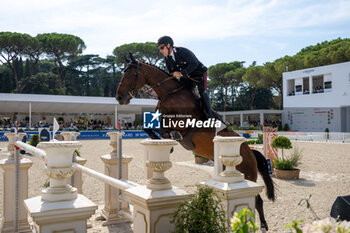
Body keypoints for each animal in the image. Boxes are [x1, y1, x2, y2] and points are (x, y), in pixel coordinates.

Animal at [116, 55, 274, 231]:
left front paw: (169, 139)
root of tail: (251, 152)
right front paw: (163, 142)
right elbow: (148, 126)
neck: (169, 94)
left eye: (130, 74)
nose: (119, 97)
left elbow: (165, 128)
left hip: (247, 175)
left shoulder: (182, 123)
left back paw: (263, 225)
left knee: (257, 200)